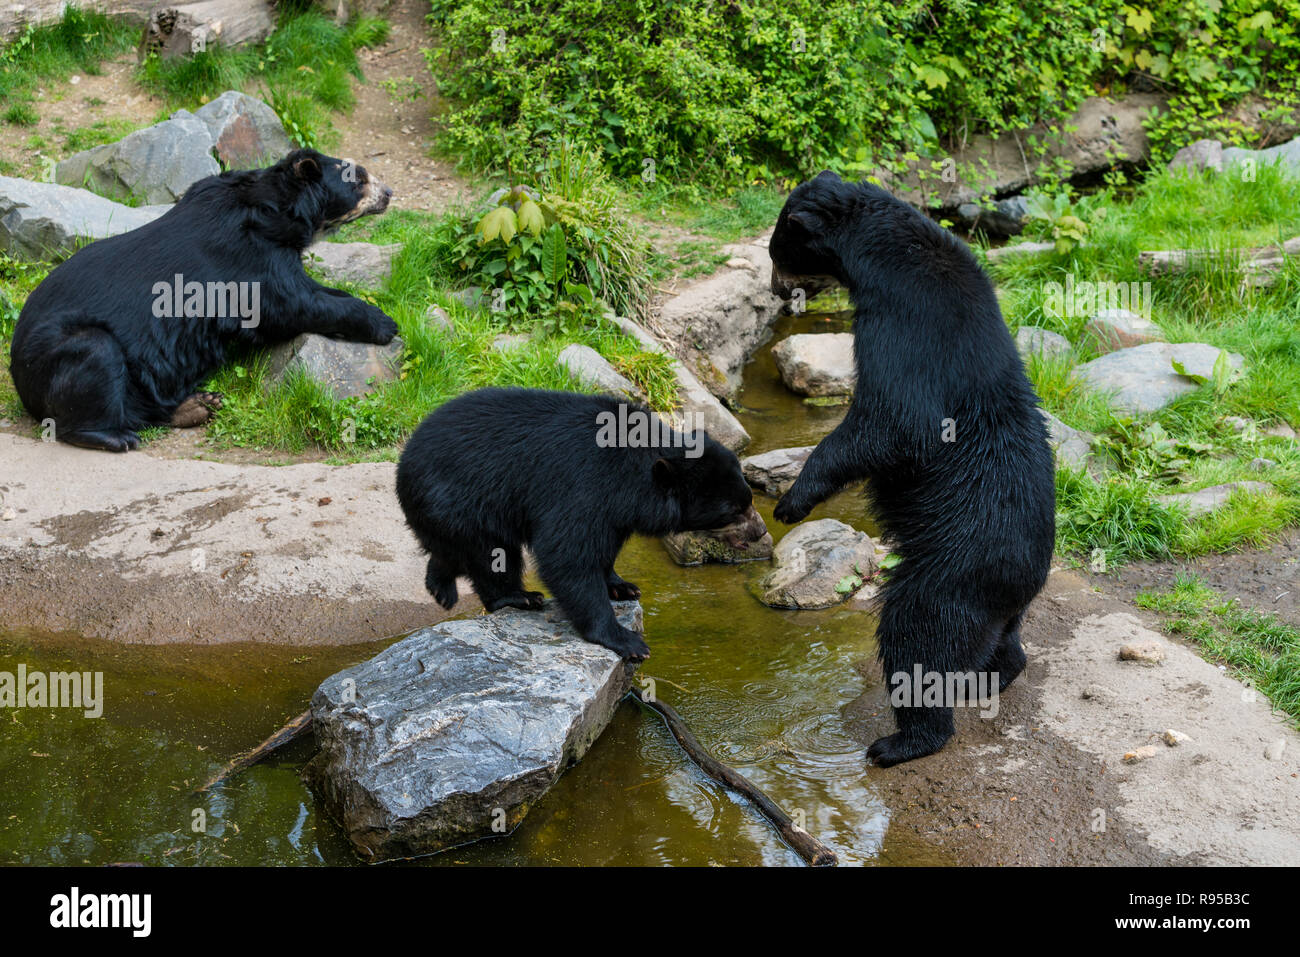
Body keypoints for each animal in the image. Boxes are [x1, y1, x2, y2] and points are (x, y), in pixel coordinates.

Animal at [9, 148, 397, 453]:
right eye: (359, 177)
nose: (390, 192)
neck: (281, 211)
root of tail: (18, 377)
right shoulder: (248, 257)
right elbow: (290, 304)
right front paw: (384, 323)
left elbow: (313, 291)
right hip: (63, 352)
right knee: (96, 360)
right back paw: (115, 436)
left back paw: (198, 405)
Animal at [395, 387, 764, 660]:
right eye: (733, 509)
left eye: (748, 498)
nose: (760, 531)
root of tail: (405, 457)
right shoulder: (583, 485)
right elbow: (567, 555)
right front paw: (627, 640)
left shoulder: (615, 511)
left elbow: (605, 547)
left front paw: (622, 585)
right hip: (459, 499)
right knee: (490, 554)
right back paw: (517, 597)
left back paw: (441, 586)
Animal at [767, 170, 1056, 767]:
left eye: (780, 241)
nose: (774, 280)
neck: (883, 258)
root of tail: (1025, 578)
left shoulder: (906, 325)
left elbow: (893, 421)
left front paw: (792, 499)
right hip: (995, 599)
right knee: (1002, 641)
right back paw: (992, 676)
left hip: (951, 572)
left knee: (917, 637)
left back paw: (901, 741)